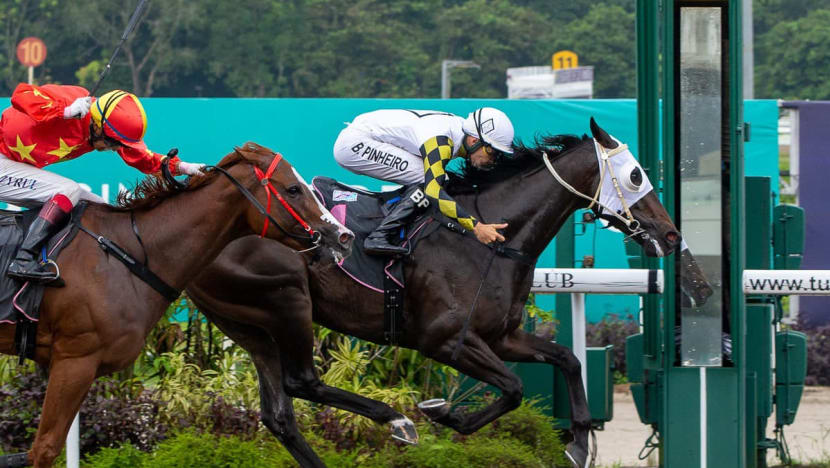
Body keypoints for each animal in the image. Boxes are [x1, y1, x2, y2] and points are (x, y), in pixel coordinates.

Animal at [0, 143, 354, 468]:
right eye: (293, 189)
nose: (344, 236)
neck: (130, 253)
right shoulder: (75, 359)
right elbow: (43, 450)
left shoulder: (74, 363)